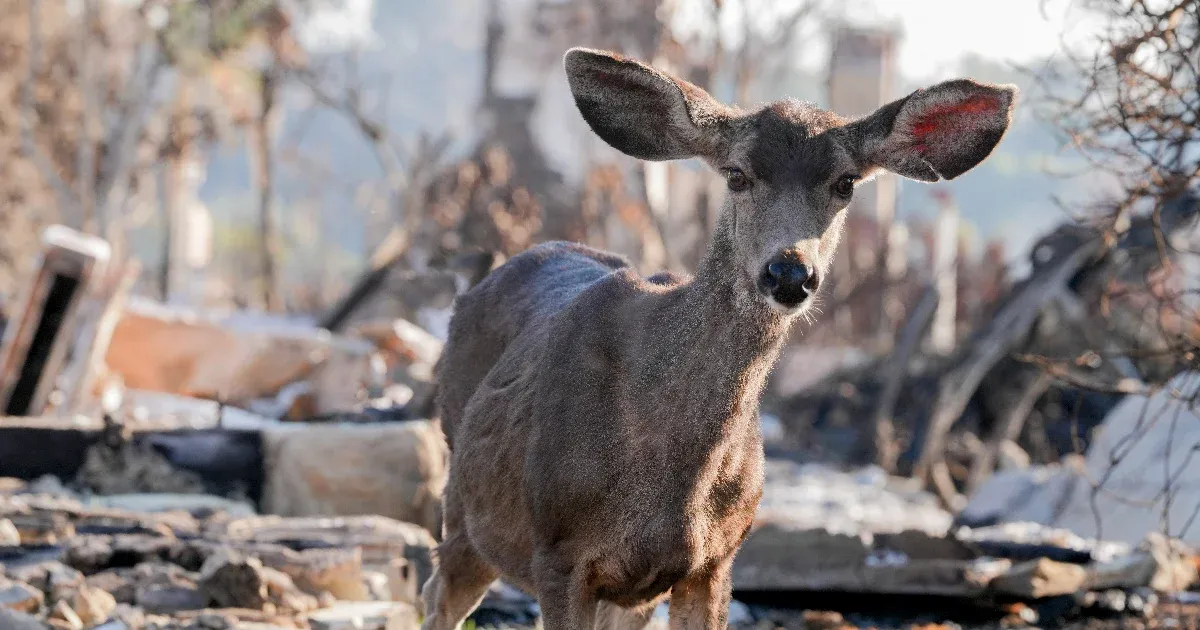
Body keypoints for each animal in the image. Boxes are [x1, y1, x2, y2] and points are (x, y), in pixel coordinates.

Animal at [422, 46, 1012, 624]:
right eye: (736, 174)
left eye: (845, 183)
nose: (789, 272)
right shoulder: (559, 551)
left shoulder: (715, 559)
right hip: (463, 500)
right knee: (439, 591)